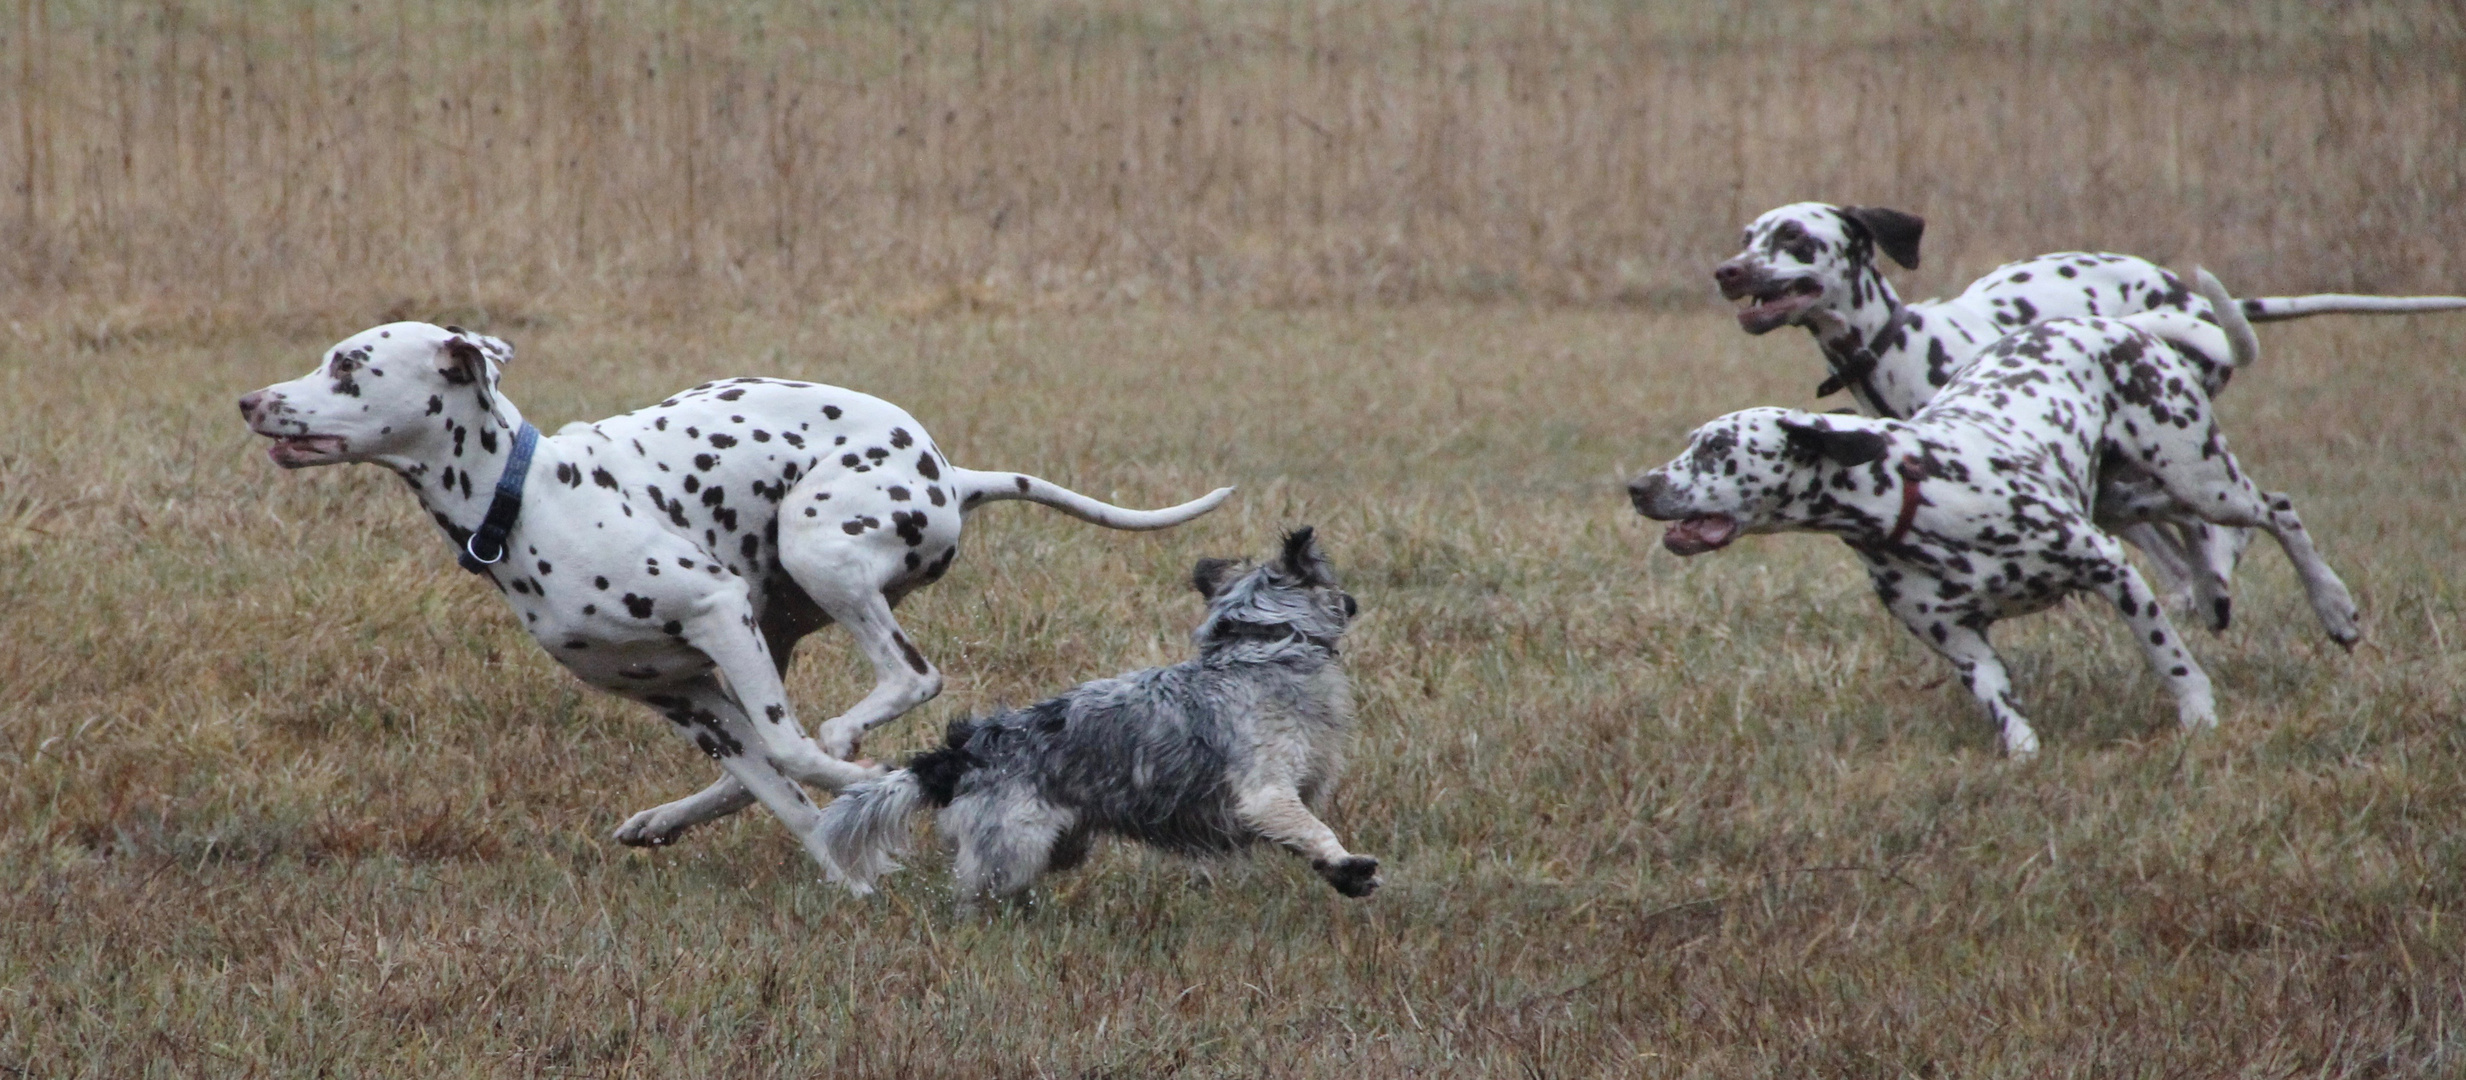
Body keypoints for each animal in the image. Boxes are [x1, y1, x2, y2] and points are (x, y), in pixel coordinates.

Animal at [237, 320, 1233, 867]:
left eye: (348, 368)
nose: (250, 400)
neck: (526, 502)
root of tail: (950, 472)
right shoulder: (683, 694)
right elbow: (780, 791)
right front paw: (847, 862)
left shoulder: (715, 615)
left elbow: (796, 760)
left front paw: (869, 784)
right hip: (772, 627)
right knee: (765, 758)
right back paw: (669, 819)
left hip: (815, 553)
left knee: (903, 683)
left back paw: (851, 747)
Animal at [818, 527, 1380, 897]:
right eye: (1335, 584)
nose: (1355, 601)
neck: (1260, 648)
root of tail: (967, 750)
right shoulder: (1268, 795)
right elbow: (1316, 830)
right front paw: (1349, 864)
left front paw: (1342, 876)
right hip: (1015, 847)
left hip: (1061, 843)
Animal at [1627, 273, 2357, 754]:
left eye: (1716, 448)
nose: (1638, 486)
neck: (1913, 500)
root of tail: (2116, 325)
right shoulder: (1963, 645)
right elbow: (2002, 709)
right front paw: (2022, 753)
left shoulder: (2109, 568)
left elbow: (2166, 657)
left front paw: (2198, 715)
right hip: (2130, 497)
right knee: (2216, 539)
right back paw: (2215, 590)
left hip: (2198, 475)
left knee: (2276, 510)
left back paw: (2335, 608)